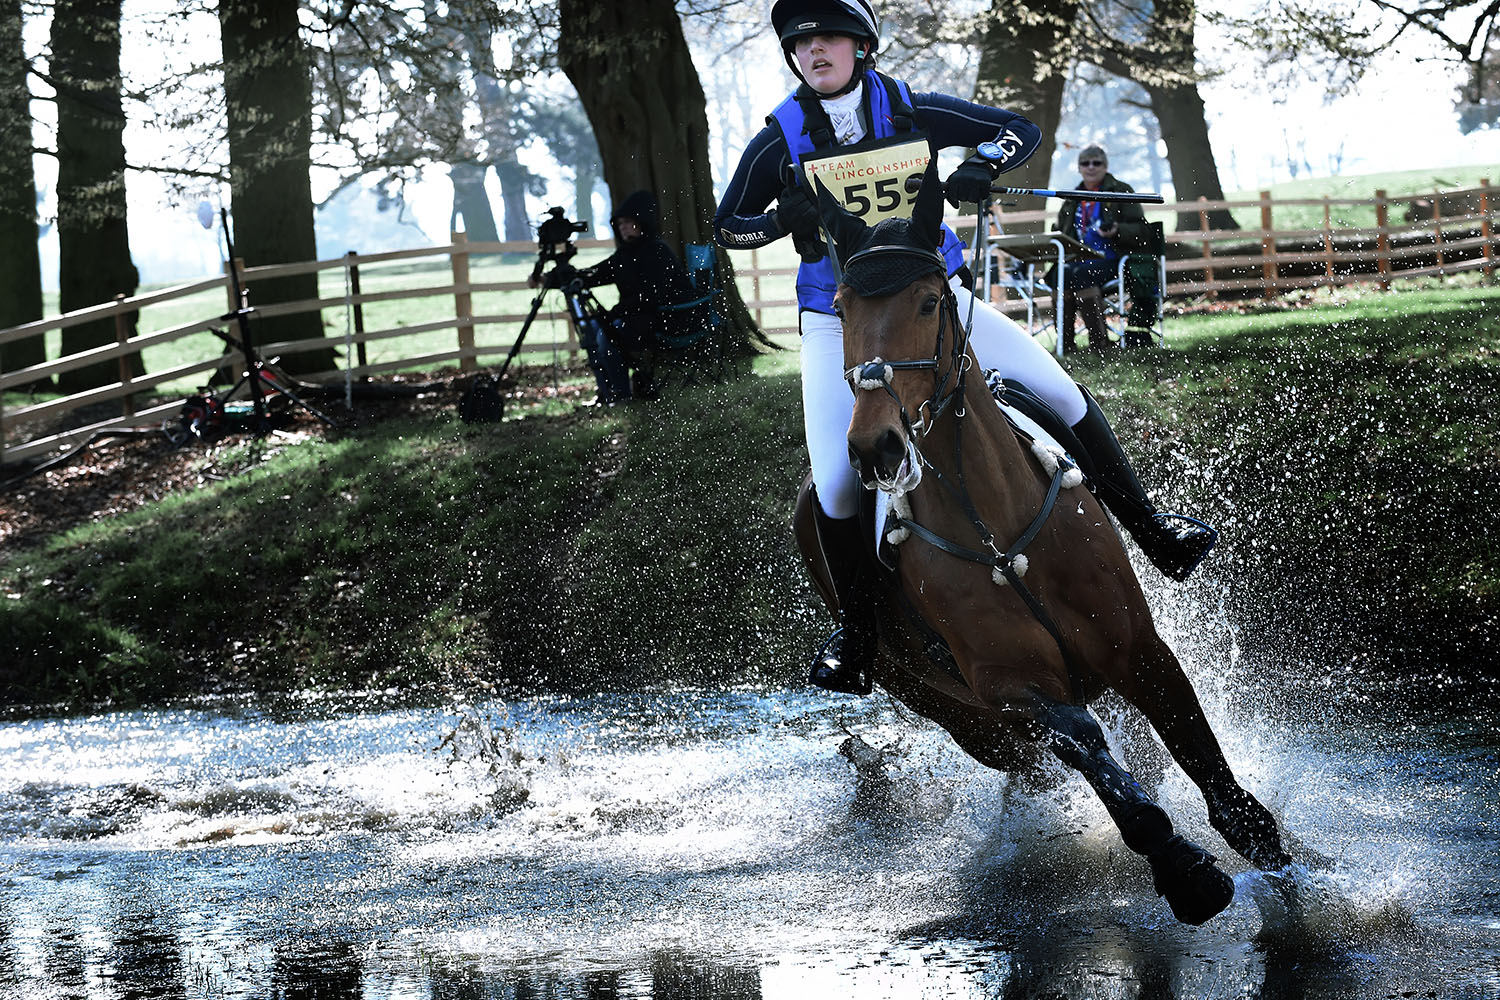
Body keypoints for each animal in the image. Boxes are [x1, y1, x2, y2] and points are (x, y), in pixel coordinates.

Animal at [792, 166, 1291, 925]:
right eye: (842, 310)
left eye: (930, 301)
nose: (874, 447)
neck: (994, 525)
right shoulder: (1011, 689)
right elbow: (1091, 754)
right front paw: (1184, 871)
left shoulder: (1135, 646)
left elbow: (1199, 751)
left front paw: (1260, 842)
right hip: (961, 716)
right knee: (1032, 769)